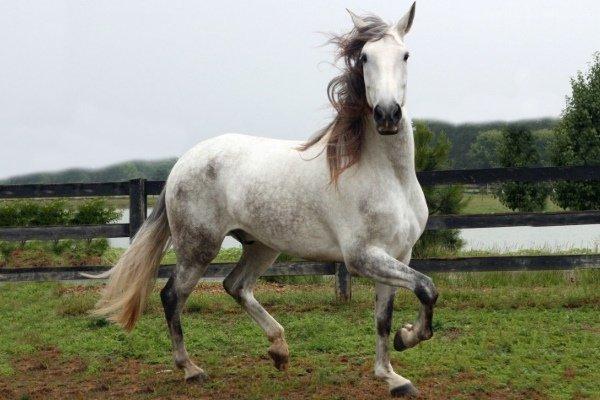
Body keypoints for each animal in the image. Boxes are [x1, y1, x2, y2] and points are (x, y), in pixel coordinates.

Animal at [88, 2, 436, 396]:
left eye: (405, 55)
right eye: (364, 57)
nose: (387, 115)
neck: (388, 176)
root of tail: (183, 162)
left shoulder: (398, 254)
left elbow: (385, 317)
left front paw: (392, 374)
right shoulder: (362, 257)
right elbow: (427, 288)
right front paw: (407, 339)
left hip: (262, 246)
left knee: (235, 286)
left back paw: (279, 350)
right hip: (198, 248)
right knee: (172, 295)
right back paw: (191, 369)